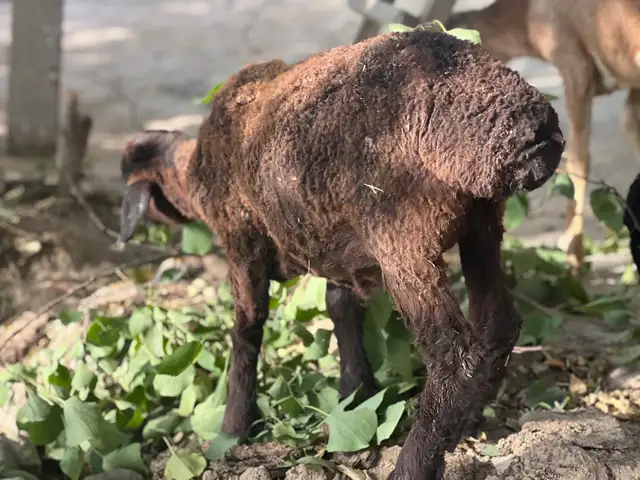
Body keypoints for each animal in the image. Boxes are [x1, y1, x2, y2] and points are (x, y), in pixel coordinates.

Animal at [118, 29, 564, 480]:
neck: (192, 171)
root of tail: (523, 123)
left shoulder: (241, 239)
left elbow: (247, 327)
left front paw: (233, 429)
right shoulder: (333, 244)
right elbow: (341, 307)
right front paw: (354, 393)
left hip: (402, 238)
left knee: (454, 356)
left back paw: (412, 464)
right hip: (482, 224)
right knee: (497, 323)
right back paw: (465, 423)